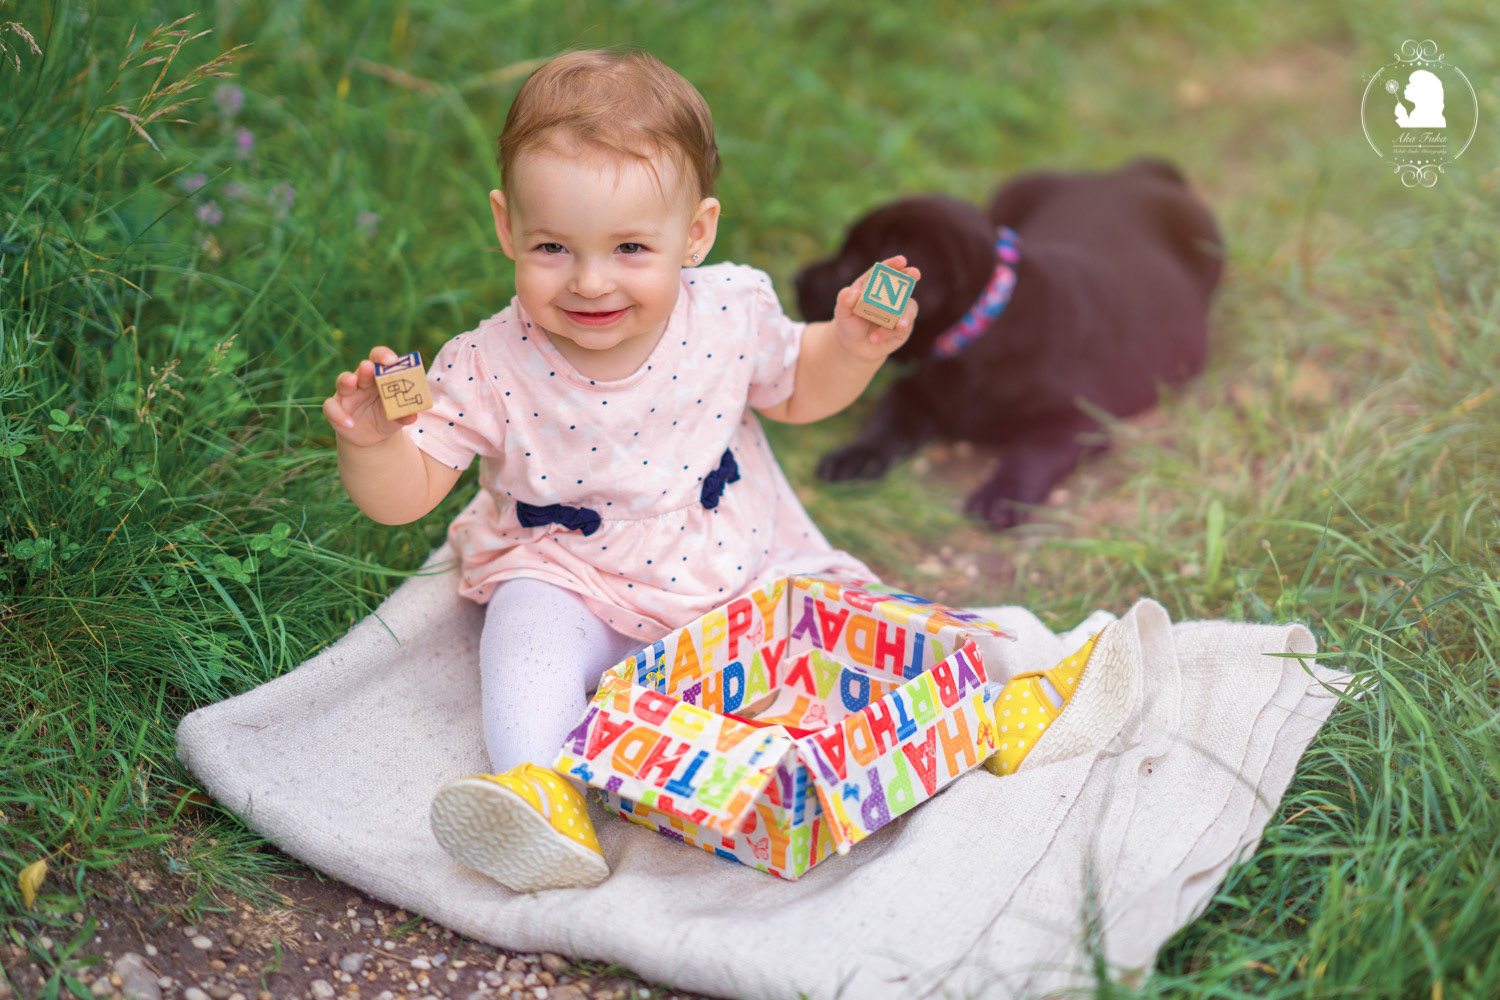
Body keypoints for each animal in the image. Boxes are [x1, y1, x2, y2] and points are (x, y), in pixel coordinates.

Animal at [794, 158, 1223, 528]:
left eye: (851, 265)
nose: (796, 278)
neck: (983, 327)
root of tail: (1132, 173)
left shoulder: (1078, 420)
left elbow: (1031, 453)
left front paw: (1002, 495)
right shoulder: (915, 390)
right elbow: (885, 422)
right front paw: (855, 457)